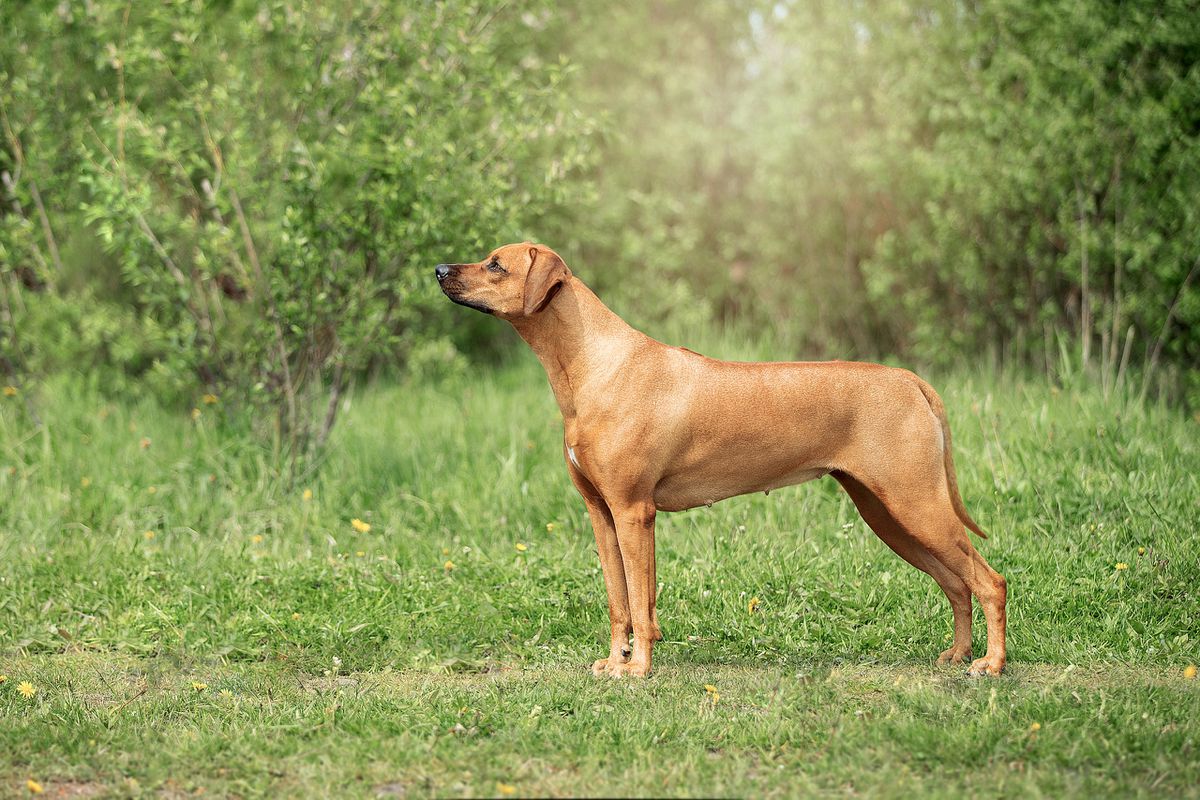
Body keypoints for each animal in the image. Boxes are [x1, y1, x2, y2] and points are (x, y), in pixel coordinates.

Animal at [436, 242, 1008, 676]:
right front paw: (615, 661)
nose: (440, 269)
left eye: (495, 264)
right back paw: (958, 655)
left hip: (916, 505)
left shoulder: (633, 512)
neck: (594, 363)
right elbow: (621, 601)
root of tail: (910, 380)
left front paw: (637, 669)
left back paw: (992, 664)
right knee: (957, 584)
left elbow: (640, 601)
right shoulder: (602, 513)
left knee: (989, 581)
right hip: (888, 514)